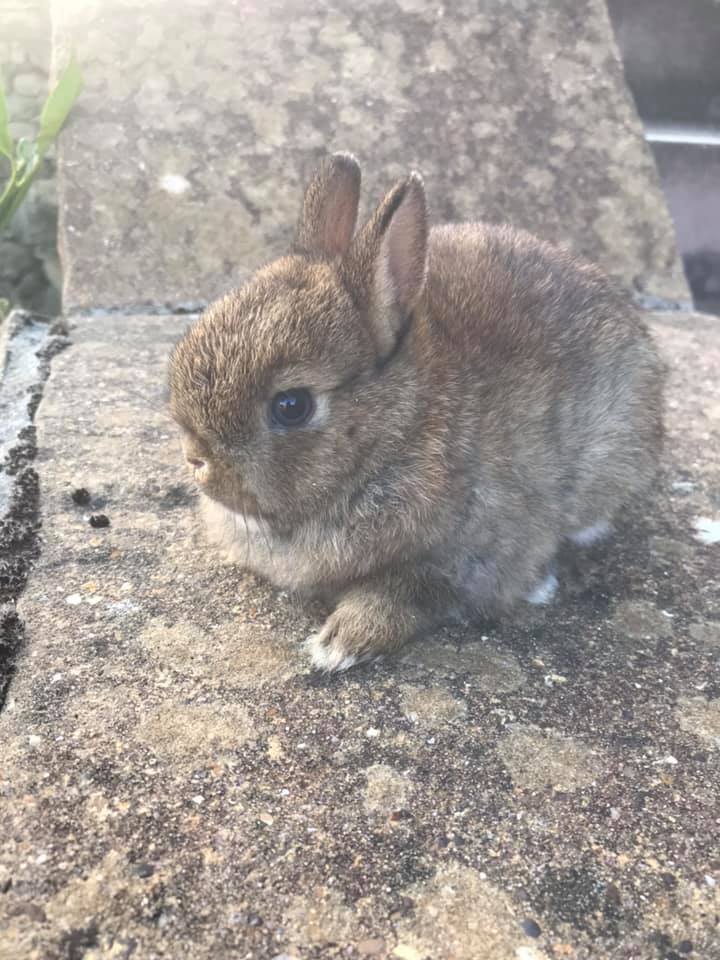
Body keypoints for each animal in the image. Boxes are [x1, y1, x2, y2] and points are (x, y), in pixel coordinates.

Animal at [169, 152, 664, 672]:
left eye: (291, 406)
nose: (197, 460)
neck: (398, 428)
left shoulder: (464, 557)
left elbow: (407, 594)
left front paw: (338, 645)